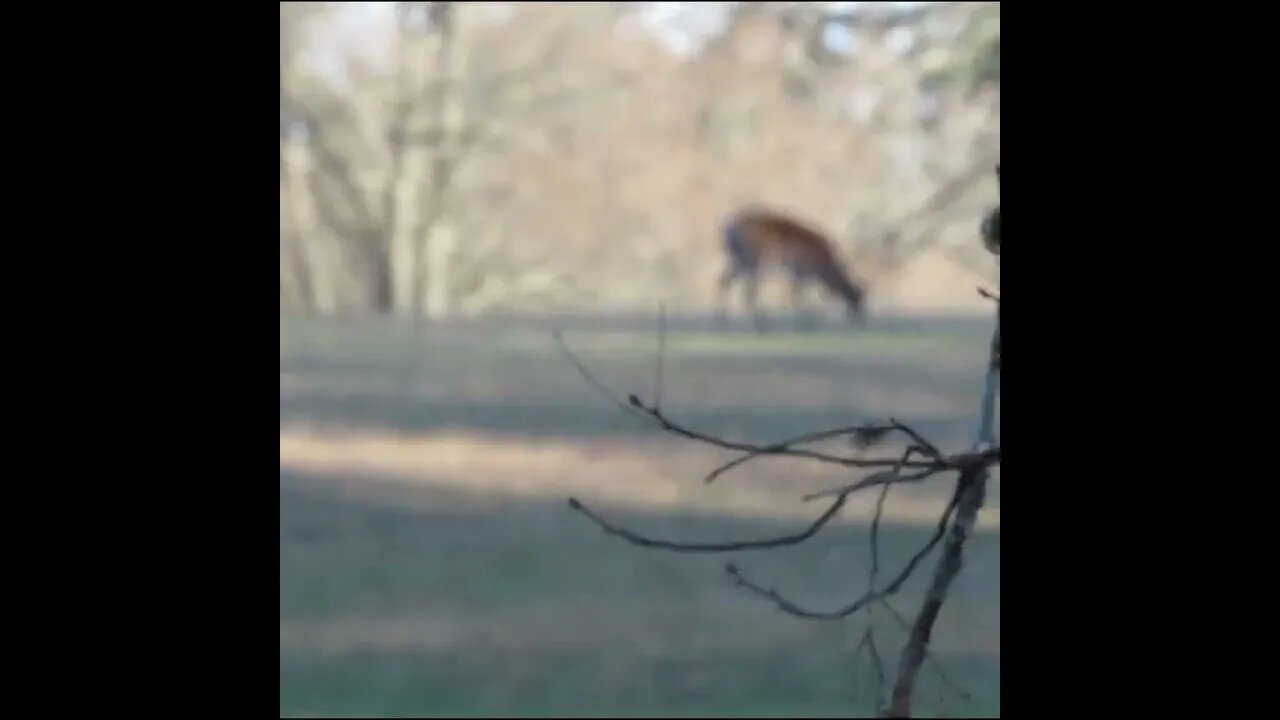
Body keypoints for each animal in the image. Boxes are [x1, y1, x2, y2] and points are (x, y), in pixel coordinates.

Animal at [715, 205, 869, 332]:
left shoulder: (802, 276)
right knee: (749, 290)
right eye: (858, 298)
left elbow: (808, 297)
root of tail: (727, 230)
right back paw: (751, 325)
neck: (825, 268)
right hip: (751, 260)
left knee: (724, 281)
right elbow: (798, 298)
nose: (861, 319)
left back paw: (726, 320)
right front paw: (794, 324)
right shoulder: (799, 272)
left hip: (737, 261)